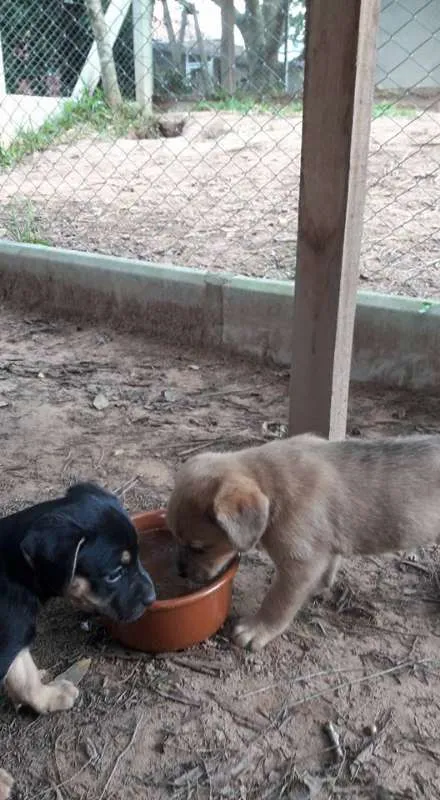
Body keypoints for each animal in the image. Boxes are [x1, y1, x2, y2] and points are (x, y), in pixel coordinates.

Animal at [0, 482, 156, 800]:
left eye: (137, 557)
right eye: (114, 574)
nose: (152, 597)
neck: (17, 570)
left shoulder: (15, 634)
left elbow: (25, 676)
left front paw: (49, 697)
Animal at [168, 434, 440, 652]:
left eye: (199, 548)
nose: (180, 573)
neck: (270, 483)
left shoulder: (300, 563)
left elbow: (277, 601)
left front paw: (257, 629)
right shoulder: (323, 547)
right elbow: (329, 566)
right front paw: (321, 586)